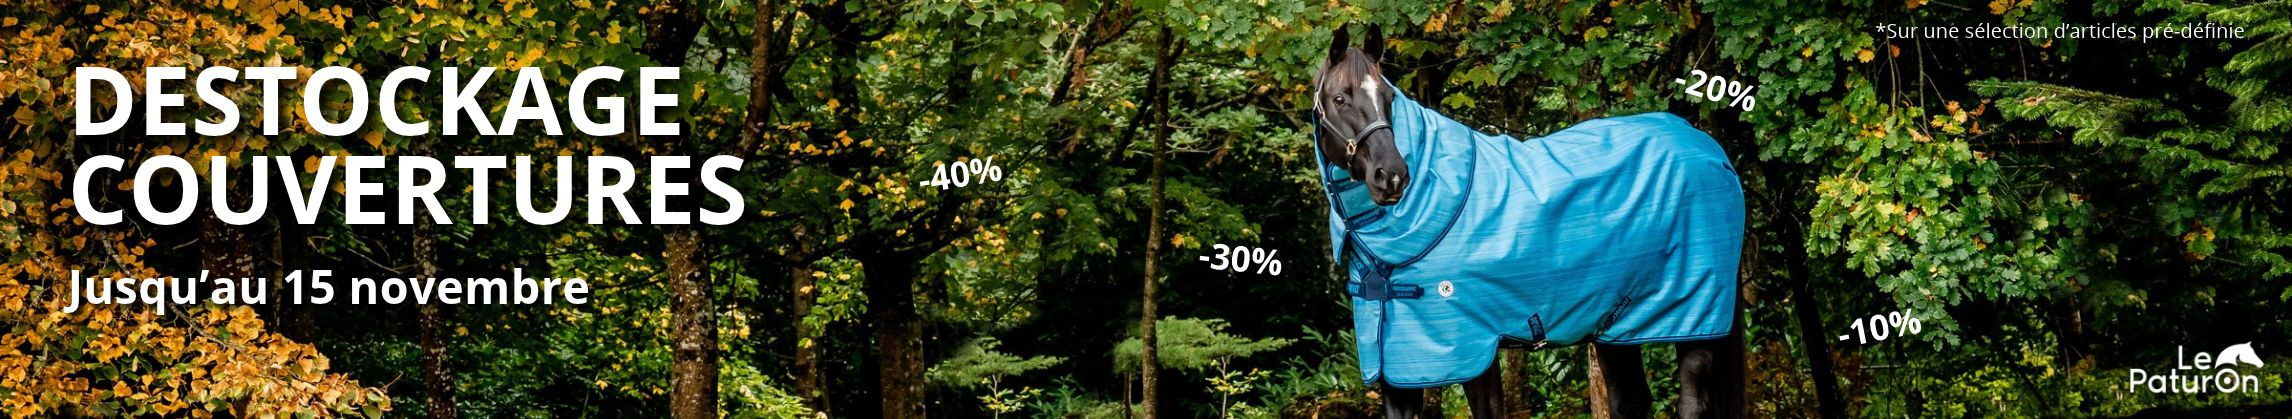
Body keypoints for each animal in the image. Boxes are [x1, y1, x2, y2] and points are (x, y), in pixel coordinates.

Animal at [1310, 24, 1748, 418]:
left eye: (1387, 97)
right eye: (1339, 98)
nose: (1393, 176)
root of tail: (1711, 149)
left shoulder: (1474, 348)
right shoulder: (1396, 362)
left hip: (1695, 318)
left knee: (1692, 403)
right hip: (1618, 327)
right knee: (1631, 401)